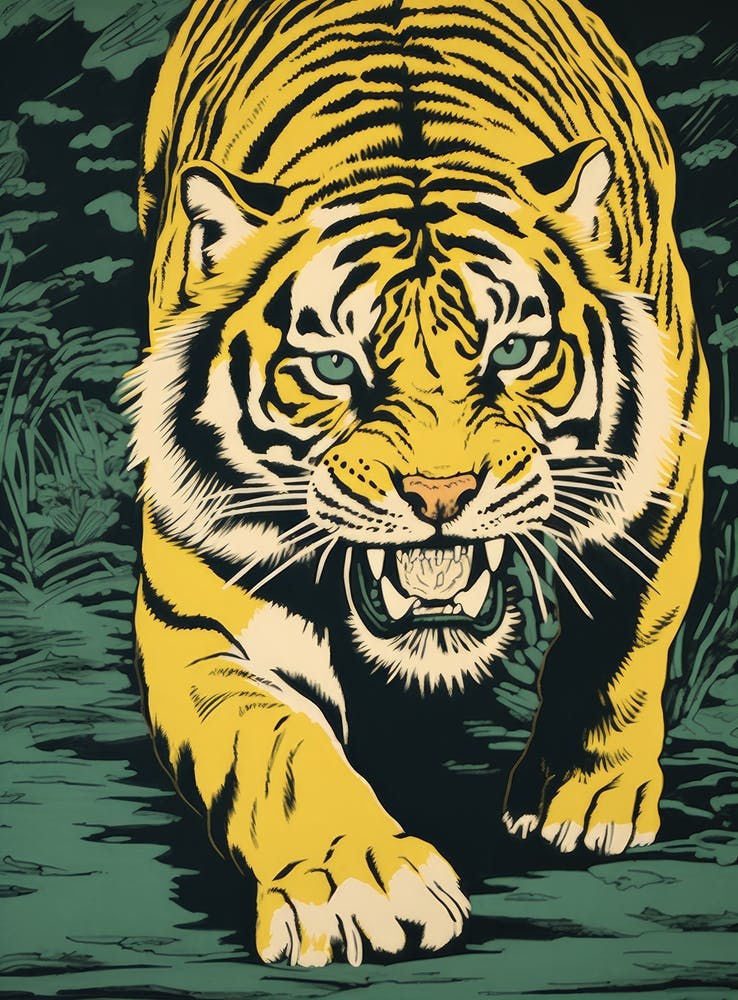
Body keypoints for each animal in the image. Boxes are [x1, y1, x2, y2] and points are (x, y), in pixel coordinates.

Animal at [125, 0, 708, 968]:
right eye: (333, 365)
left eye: (513, 350)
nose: (441, 495)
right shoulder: (204, 600)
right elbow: (273, 742)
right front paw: (353, 884)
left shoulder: (663, 479)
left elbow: (621, 639)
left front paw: (580, 798)